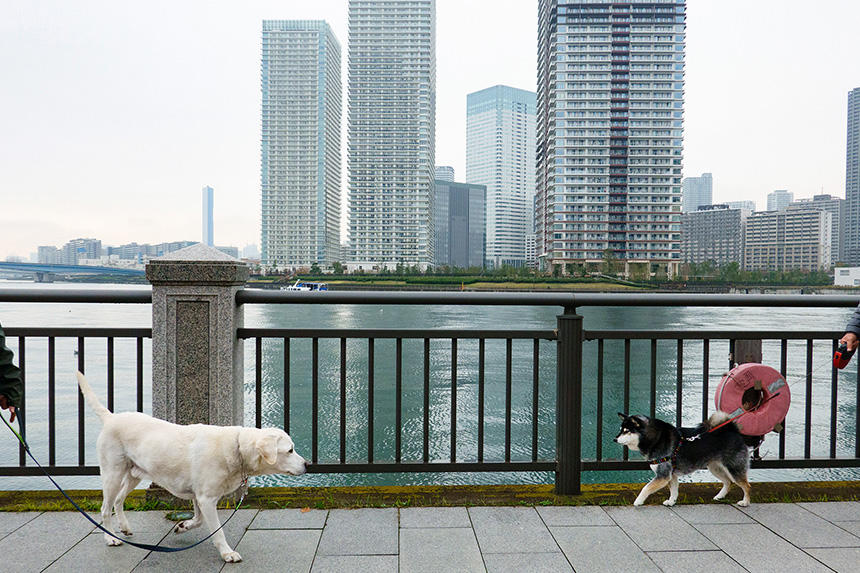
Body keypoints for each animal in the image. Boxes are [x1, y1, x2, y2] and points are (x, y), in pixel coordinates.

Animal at [75, 370, 308, 564]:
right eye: (290, 450)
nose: (307, 464)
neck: (237, 448)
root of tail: (111, 418)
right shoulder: (206, 498)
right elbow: (217, 530)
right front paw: (227, 553)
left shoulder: (198, 496)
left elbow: (198, 520)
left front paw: (182, 526)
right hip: (112, 473)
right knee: (105, 508)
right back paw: (110, 538)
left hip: (134, 473)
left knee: (119, 500)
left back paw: (124, 527)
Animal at [616, 412, 748, 504]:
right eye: (620, 430)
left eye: (627, 431)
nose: (614, 439)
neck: (655, 439)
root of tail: (734, 431)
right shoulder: (672, 475)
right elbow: (674, 491)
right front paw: (671, 502)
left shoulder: (663, 475)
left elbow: (645, 488)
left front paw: (638, 501)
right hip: (715, 468)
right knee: (728, 482)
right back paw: (720, 496)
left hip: (734, 468)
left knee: (746, 486)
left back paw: (745, 502)